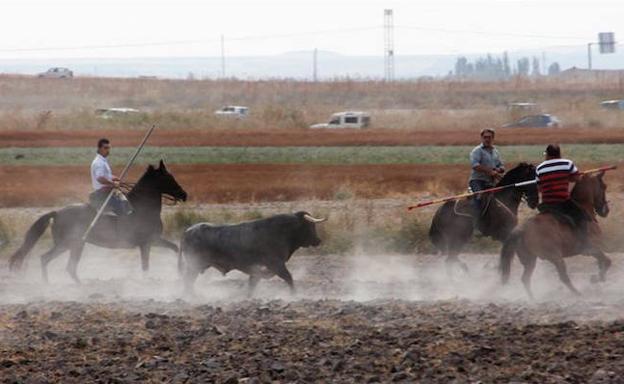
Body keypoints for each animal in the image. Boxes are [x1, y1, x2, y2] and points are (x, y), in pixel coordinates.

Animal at [8, 160, 186, 284]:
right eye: (168, 177)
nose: (184, 195)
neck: (142, 208)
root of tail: (57, 213)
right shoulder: (147, 243)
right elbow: (146, 265)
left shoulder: (154, 240)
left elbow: (175, 248)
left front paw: (179, 271)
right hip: (69, 244)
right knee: (49, 260)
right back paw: (51, 285)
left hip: (74, 245)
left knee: (64, 266)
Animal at [178, 213, 326, 294]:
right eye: (310, 226)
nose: (318, 240)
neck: (281, 231)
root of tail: (187, 232)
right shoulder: (276, 264)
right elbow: (288, 278)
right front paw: (294, 294)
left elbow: (253, 282)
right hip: (194, 266)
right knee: (187, 281)